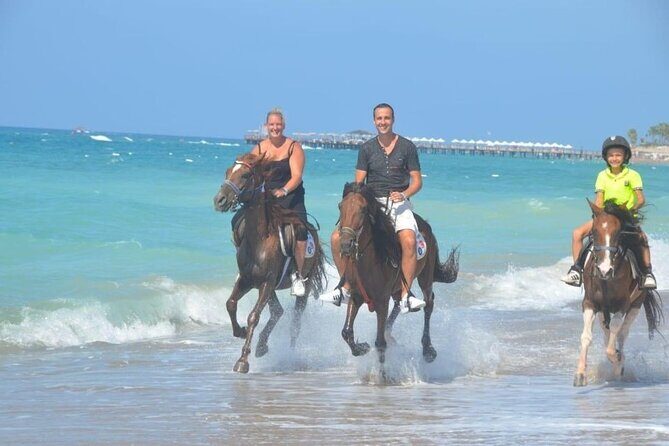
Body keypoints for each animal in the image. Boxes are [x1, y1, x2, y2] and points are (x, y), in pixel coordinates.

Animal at [213, 152, 326, 373]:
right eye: (227, 172)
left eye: (246, 175)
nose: (220, 200)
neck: (258, 239)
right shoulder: (248, 280)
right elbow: (230, 304)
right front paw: (241, 331)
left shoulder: (266, 282)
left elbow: (254, 316)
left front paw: (243, 361)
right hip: (269, 287)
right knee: (278, 311)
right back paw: (262, 346)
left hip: (302, 286)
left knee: (295, 322)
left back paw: (289, 355)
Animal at [335, 182, 459, 367]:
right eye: (340, 206)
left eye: (363, 209)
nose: (345, 244)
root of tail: (425, 225)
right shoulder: (356, 295)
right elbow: (346, 332)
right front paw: (362, 347)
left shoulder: (381, 301)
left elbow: (380, 343)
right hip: (396, 288)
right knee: (399, 303)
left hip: (425, 276)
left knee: (428, 304)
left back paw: (428, 350)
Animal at [573, 199, 663, 386]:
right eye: (594, 231)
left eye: (618, 233)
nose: (604, 269)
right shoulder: (590, 303)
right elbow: (586, 337)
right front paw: (580, 374)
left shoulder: (623, 305)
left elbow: (615, 336)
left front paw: (617, 360)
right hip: (603, 311)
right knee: (607, 333)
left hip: (635, 305)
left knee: (622, 333)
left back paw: (619, 364)